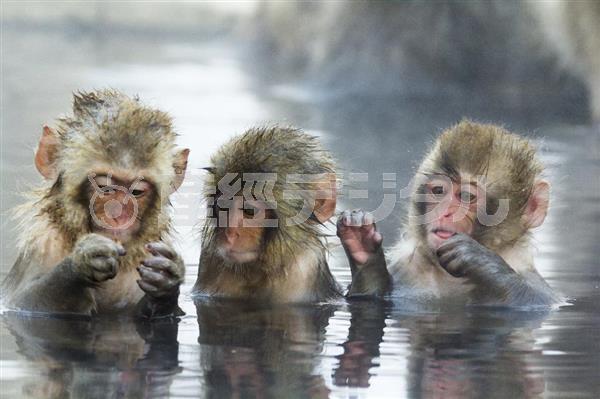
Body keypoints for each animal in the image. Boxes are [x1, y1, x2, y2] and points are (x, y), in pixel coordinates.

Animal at [1, 90, 190, 318]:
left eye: (136, 191)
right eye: (104, 187)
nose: (118, 216)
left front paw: (166, 280)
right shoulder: (44, 245)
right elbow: (24, 305)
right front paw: (80, 264)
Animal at [340, 120, 560, 308]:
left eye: (466, 196)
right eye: (439, 191)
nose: (444, 212)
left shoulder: (540, 291)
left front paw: (483, 262)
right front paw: (364, 246)